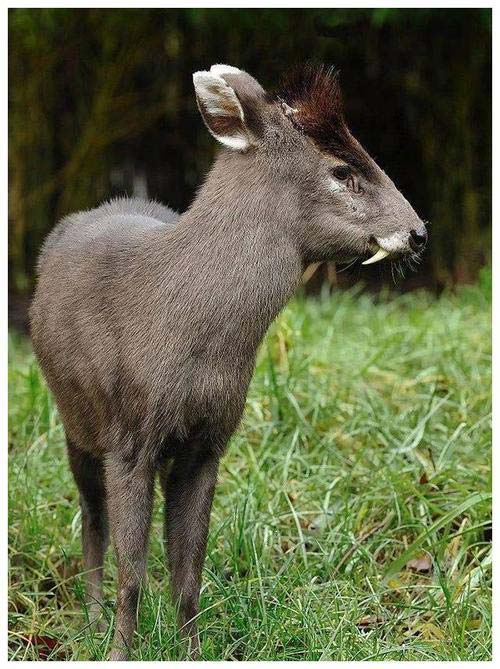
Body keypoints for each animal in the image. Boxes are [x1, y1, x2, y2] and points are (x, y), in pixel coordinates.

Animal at [29, 62, 426, 656]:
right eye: (342, 170)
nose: (417, 232)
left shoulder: (209, 442)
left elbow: (187, 572)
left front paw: (192, 651)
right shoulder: (128, 436)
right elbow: (132, 572)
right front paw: (120, 650)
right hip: (74, 416)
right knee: (90, 515)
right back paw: (92, 619)